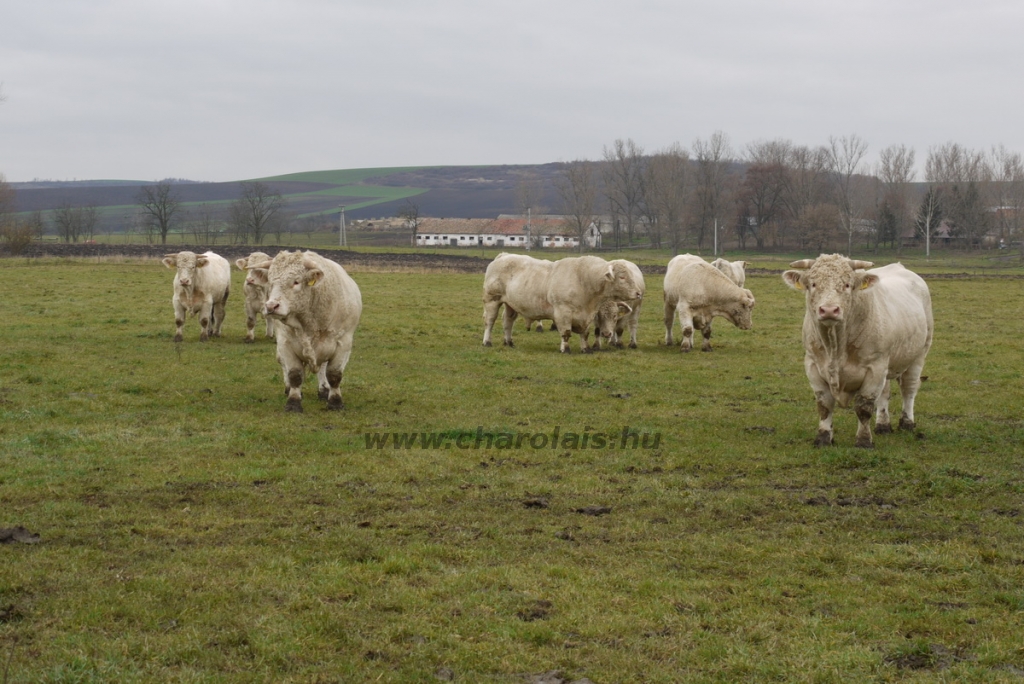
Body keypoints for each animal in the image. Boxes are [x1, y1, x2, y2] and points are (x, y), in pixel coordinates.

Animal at [245, 249, 362, 411]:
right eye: (271, 282)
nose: (271, 306)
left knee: (322, 367)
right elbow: (295, 375)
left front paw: (335, 402)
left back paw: (324, 389)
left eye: (296, 281)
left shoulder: (343, 342)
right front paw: (293, 402)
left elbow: (334, 374)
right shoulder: (286, 343)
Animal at [782, 253, 937, 446]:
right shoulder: (812, 365)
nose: (829, 310)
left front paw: (863, 441)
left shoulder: (874, 368)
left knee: (908, 388)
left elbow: (864, 407)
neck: (835, 346)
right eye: (813, 284)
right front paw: (823, 438)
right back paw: (883, 425)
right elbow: (824, 405)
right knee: (885, 393)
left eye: (847, 284)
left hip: (919, 354)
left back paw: (907, 423)